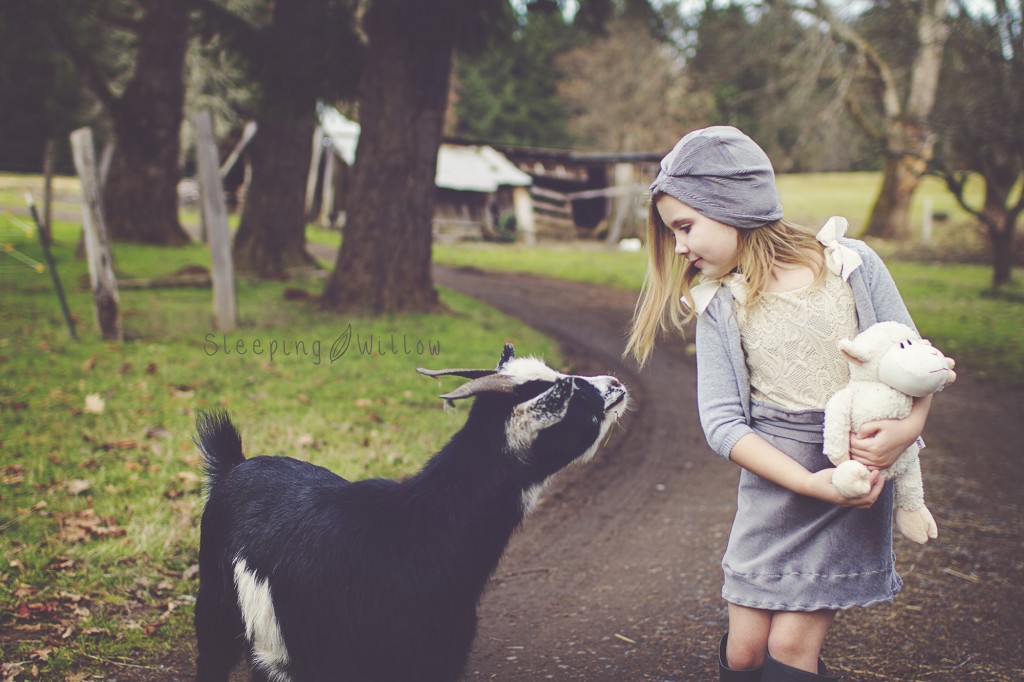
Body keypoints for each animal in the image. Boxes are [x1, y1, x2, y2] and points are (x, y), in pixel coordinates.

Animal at [192, 346, 622, 679]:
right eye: (576, 398)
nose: (616, 385)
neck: (414, 531)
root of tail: (233, 464)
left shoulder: (439, 658)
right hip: (218, 609)